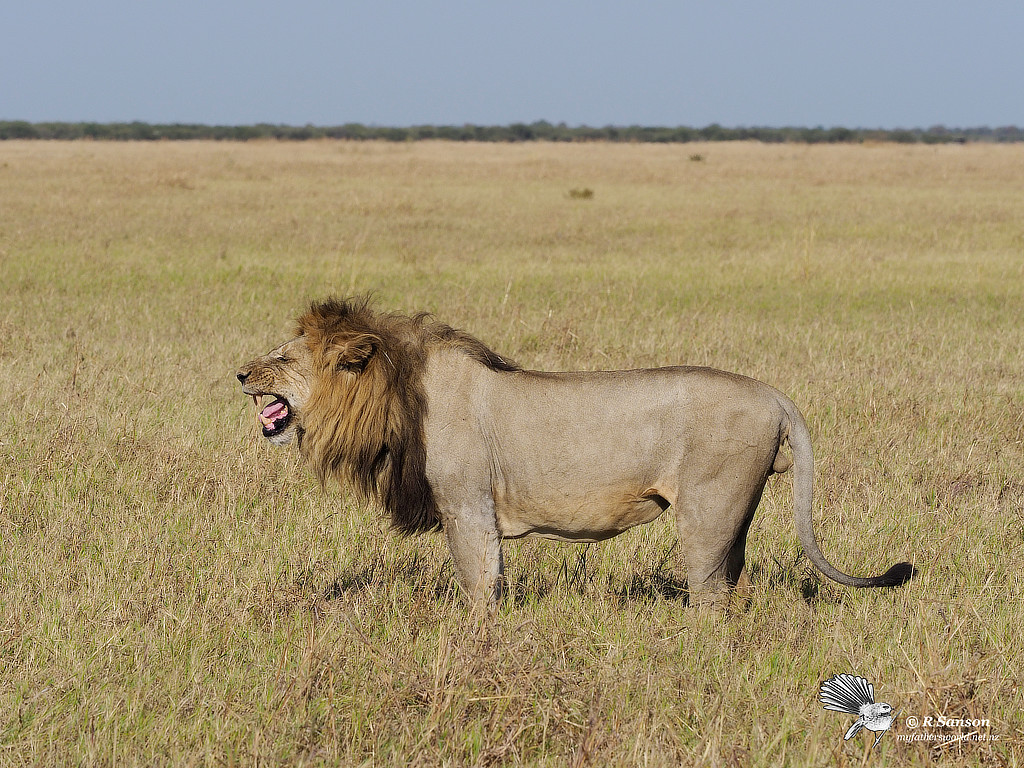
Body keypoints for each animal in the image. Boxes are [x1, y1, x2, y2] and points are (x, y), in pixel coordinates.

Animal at [235, 296, 917, 610]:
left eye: (284, 358)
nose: (240, 374)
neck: (399, 395)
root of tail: (776, 396)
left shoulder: (466, 506)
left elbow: (479, 583)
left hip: (708, 509)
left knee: (710, 592)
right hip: (738, 513)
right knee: (733, 579)